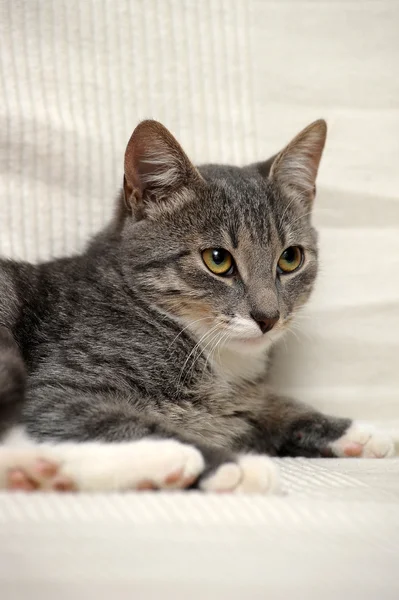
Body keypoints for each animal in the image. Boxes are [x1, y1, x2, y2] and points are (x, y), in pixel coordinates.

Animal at [0, 120, 394, 492]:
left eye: (290, 258)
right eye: (217, 259)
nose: (268, 317)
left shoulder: (238, 404)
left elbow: (266, 407)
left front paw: (355, 431)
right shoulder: (58, 390)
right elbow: (123, 422)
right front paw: (227, 464)